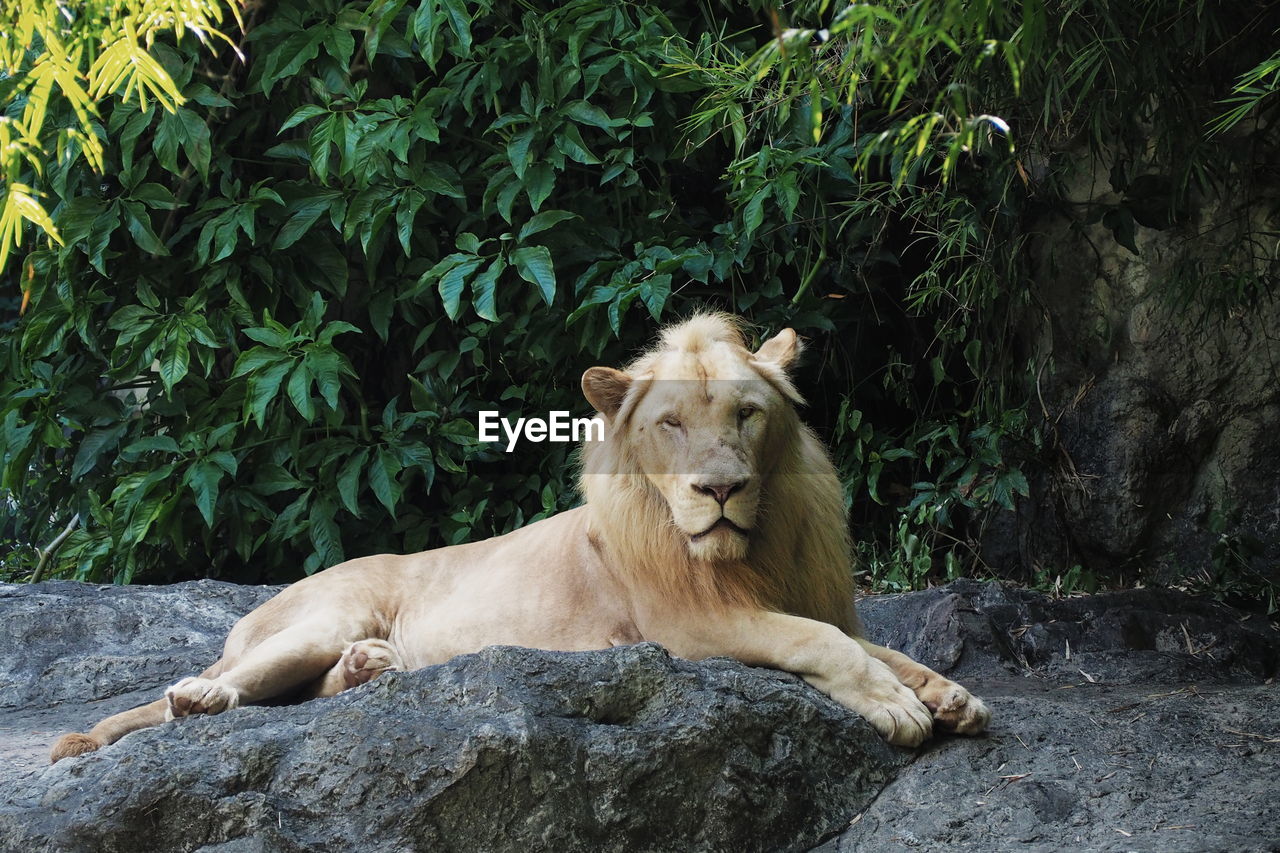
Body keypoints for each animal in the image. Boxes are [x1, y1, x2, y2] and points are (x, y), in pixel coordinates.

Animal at [49, 313, 988, 763]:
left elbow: (877, 645)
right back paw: (201, 698)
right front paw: (899, 708)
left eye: (746, 416)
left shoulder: (805, 597)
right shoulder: (692, 626)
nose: (720, 488)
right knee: (191, 695)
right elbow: (821, 644)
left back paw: (368, 671)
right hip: (316, 616)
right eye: (672, 424)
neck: (755, 543)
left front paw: (948, 694)